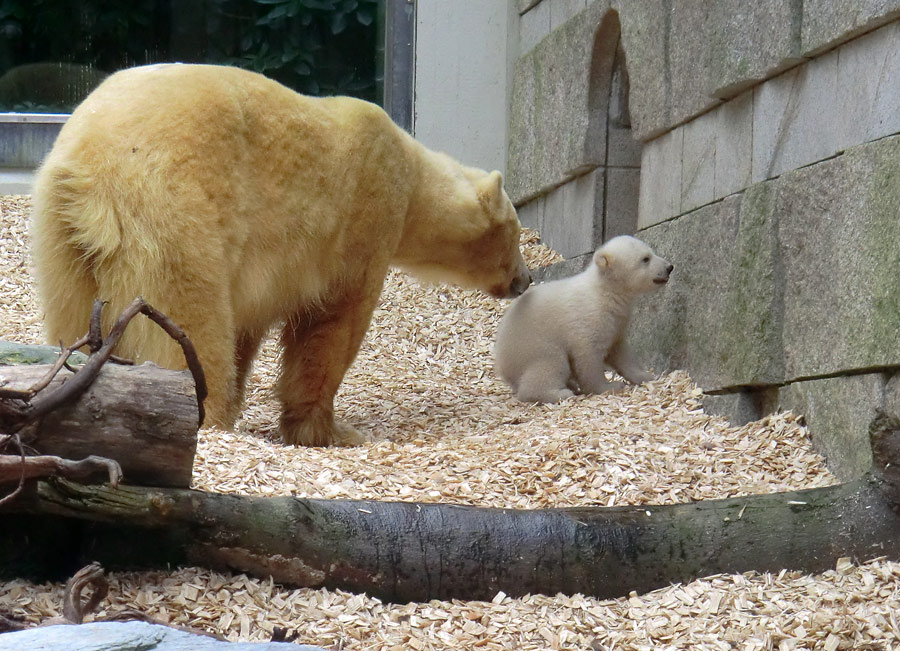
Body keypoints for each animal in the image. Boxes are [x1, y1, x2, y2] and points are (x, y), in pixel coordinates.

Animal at [31, 62, 532, 448]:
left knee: (74, 314)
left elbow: (246, 327)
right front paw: (329, 430)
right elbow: (331, 325)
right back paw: (201, 412)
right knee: (188, 313)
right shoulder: (361, 216)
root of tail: (89, 163)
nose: (525, 280)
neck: (411, 176)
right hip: (173, 208)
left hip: (64, 237)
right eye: (515, 234)